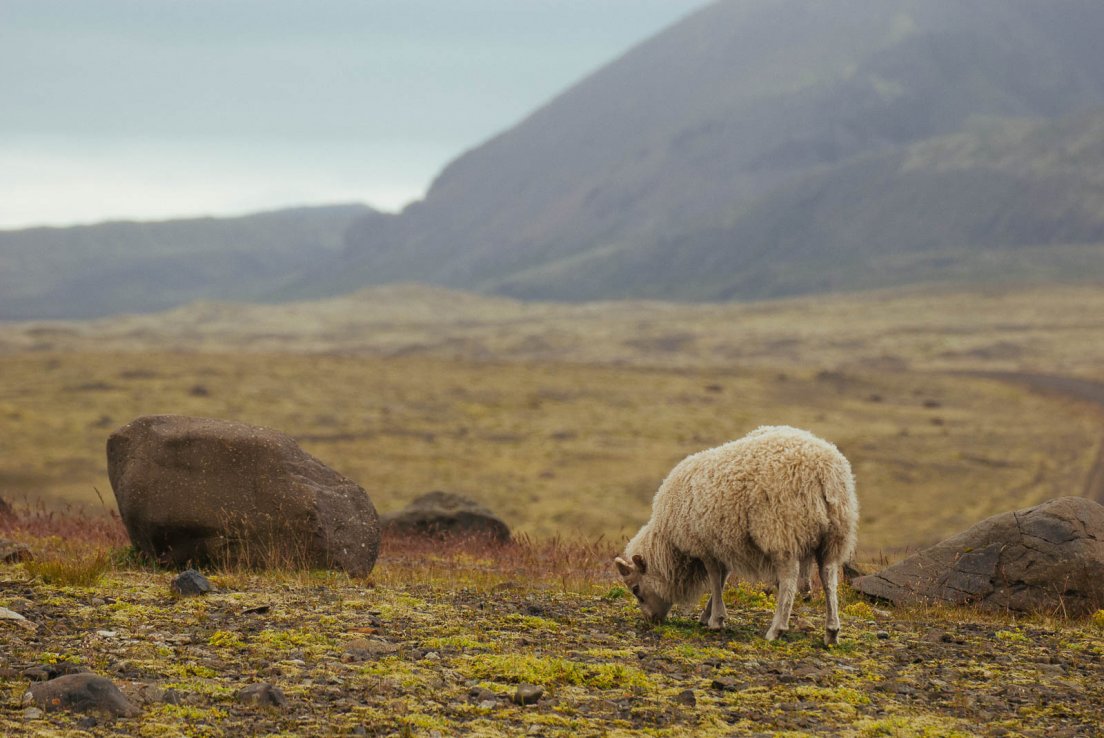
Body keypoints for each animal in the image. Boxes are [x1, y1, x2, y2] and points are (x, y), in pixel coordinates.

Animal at [618, 426, 856, 645]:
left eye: (636, 589)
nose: (651, 620)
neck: (669, 542)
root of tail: (823, 470)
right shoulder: (720, 544)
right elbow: (722, 580)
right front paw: (708, 615)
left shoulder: (704, 545)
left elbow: (715, 579)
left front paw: (716, 620)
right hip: (835, 534)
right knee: (828, 576)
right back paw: (831, 632)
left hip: (781, 529)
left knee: (789, 578)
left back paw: (777, 629)